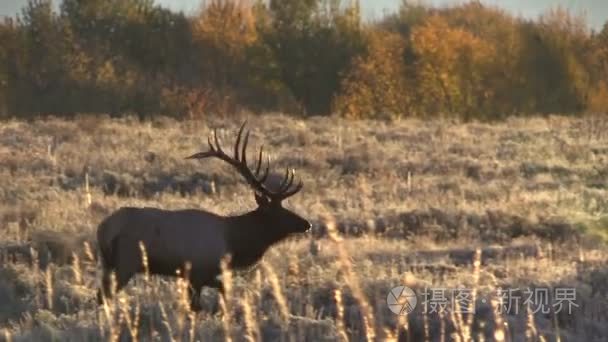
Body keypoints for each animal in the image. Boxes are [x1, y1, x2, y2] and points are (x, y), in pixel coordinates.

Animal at [98, 121, 314, 312]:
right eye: (279, 211)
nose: (307, 224)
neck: (233, 243)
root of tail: (104, 229)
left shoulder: (192, 275)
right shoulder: (199, 272)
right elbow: (205, 301)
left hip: (108, 264)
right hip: (127, 261)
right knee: (105, 295)